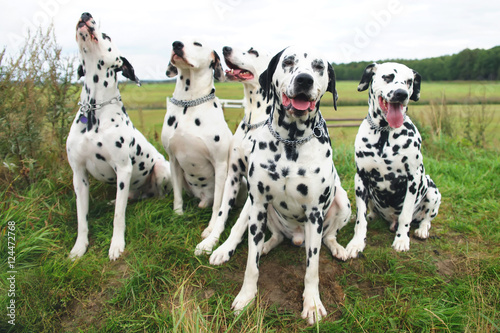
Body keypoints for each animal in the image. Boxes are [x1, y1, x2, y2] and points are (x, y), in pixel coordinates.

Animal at [67, 12, 172, 260]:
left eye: (106, 35)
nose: (85, 14)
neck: (94, 110)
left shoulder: (123, 169)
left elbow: (118, 216)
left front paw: (116, 245)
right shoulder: (78, 175)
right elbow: (81, 218)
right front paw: (79, 247)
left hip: (161, 170)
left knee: (155, 195)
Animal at [163, 39, 233, 233]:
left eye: (197, 44)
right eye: (176, 40)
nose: (176, 44)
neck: (190, 102)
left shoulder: (220, 164)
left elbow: (218, 204)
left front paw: (211, 227)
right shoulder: (173, 160)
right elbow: (177, 195)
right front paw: (177, 214)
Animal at [194, 46, 272, 254]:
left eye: (253, 52)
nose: (225, 48)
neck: (253, 122)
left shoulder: (255, 187)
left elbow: (239, 224)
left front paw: (224, 249)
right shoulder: (233, 176)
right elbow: (222, 213)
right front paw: (210, 242)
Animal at [230, 47, 352, 324]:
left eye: (319, 66)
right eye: (288, 62)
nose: (304, 80)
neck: (291, 140)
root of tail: (297, 237)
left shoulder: (315, 213)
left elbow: (312, 269)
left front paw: (312, 304)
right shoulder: (258, 203)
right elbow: (251, 265)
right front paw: (246, 296)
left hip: (342, 201)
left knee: (329, 236)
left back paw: (338, 248)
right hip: (266, 213)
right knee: (274, 237)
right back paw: (265, 245)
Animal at [346, 61, 440, 256]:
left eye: (409, 81)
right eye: (388, 77)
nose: (401, 94)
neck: (384, 133)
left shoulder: (413, 179)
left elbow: (405, 215)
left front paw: (402, 239)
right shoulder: (361, 179)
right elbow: (360, 218)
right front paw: (357, 242)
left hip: (432, 190)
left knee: (426, 219)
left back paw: (422, 230)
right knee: (369, 213)